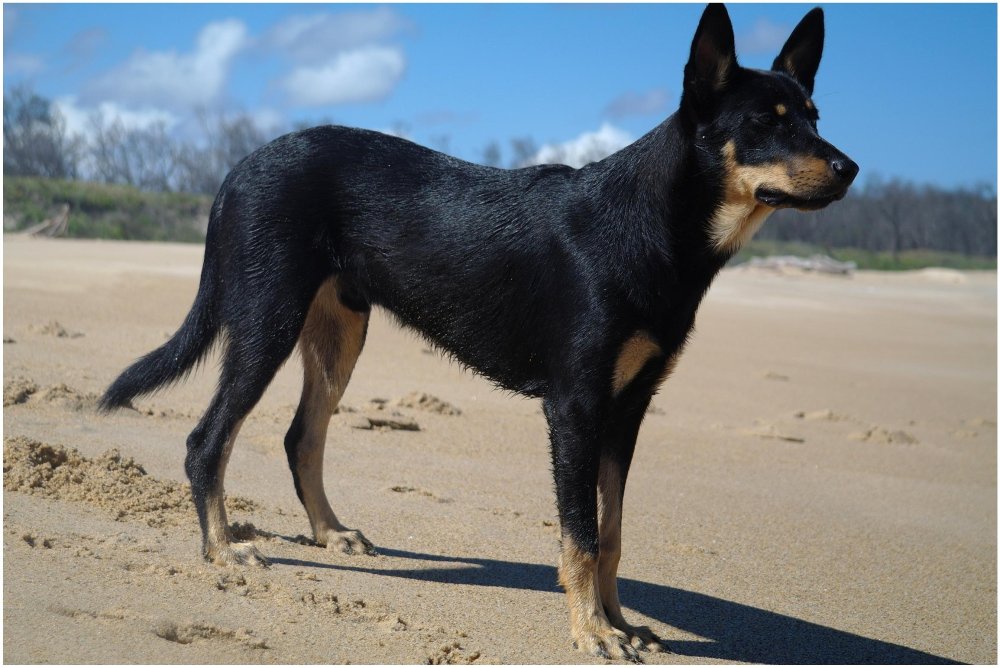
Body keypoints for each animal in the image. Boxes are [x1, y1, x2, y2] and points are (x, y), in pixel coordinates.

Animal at [101, 3, 856, 664]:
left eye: (813, 117)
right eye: (764, 123)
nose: (849, 168)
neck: (654, 228)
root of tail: (236, 170)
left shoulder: (628, 408)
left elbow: (611, 533)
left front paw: (617, 623)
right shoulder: (575, 406)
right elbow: (581, 535)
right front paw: (591, 634)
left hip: (338, 331)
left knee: (300, 437)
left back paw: (330, 534)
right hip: (267, 321)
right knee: (209, 440)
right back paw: (223, 551)